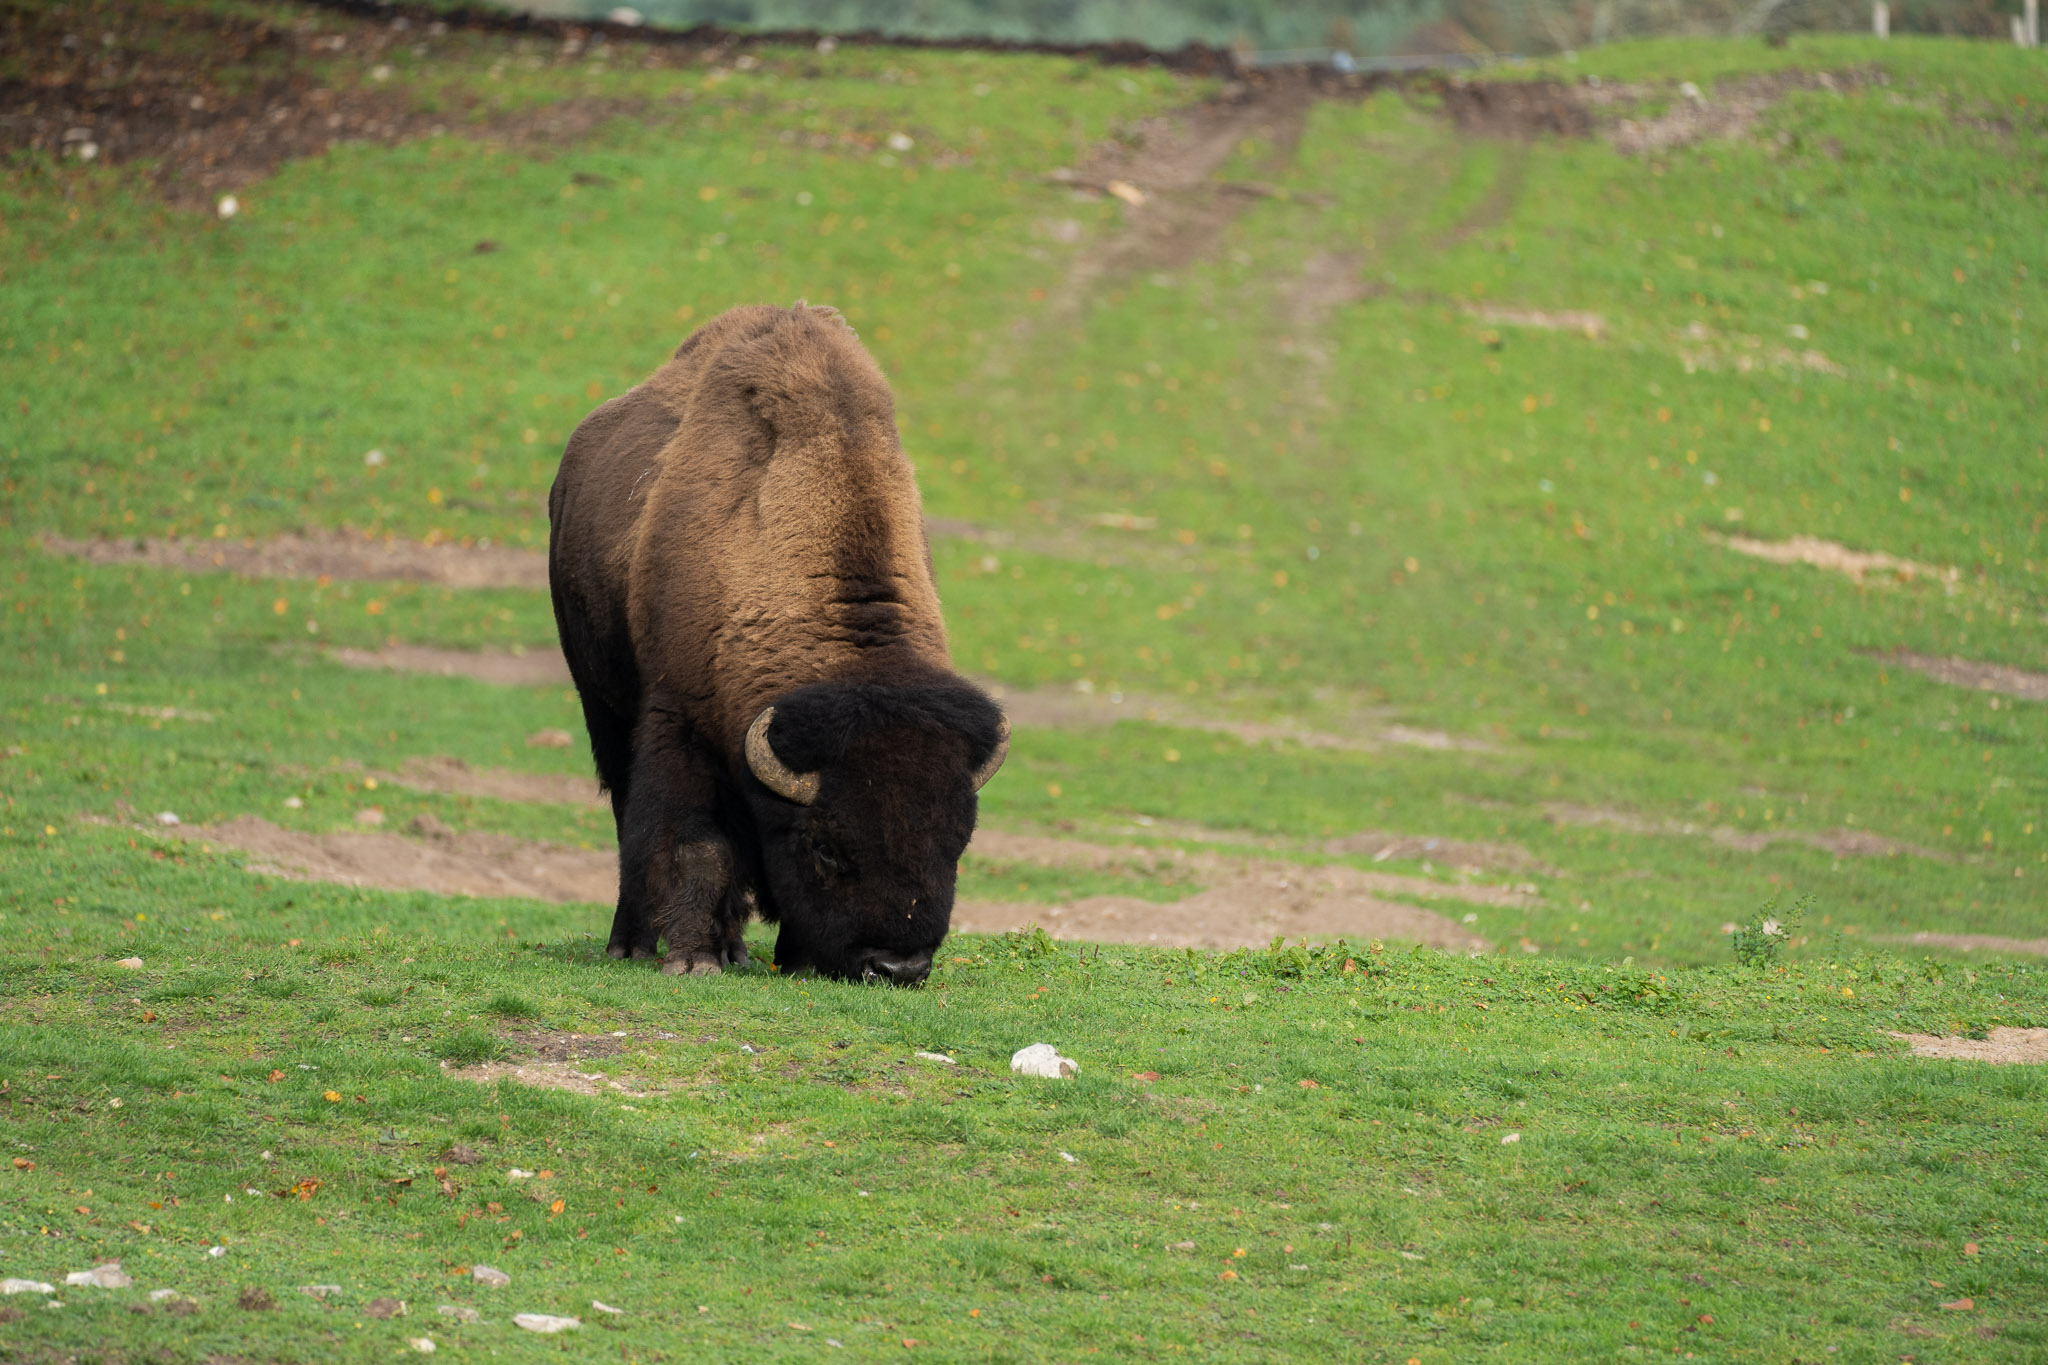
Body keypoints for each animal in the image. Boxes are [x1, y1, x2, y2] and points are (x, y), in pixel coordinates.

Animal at [548, 303, 1007, 985]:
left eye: (958, 840)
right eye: (825, 847)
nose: (898, 965)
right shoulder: (679, 725)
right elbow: (695, 844)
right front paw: (691, 961)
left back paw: (736, 948)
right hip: (600, 703)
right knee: (628, 816)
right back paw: (632, 944)